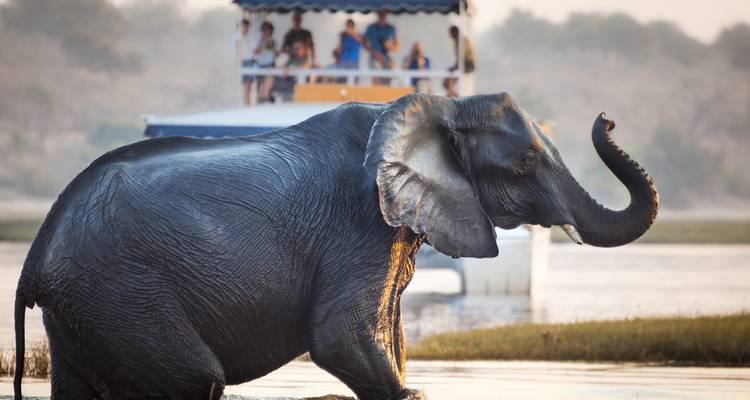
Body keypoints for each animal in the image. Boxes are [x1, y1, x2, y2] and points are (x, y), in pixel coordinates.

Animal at [14, 93, 658, 400]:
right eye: (524, 164)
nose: (608, 118)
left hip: (87, 308)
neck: (433, 107)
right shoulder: (357, 224)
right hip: (121, 291)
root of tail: (35, 258)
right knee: (193, 379)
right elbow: (339, 338)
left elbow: (387, 336)